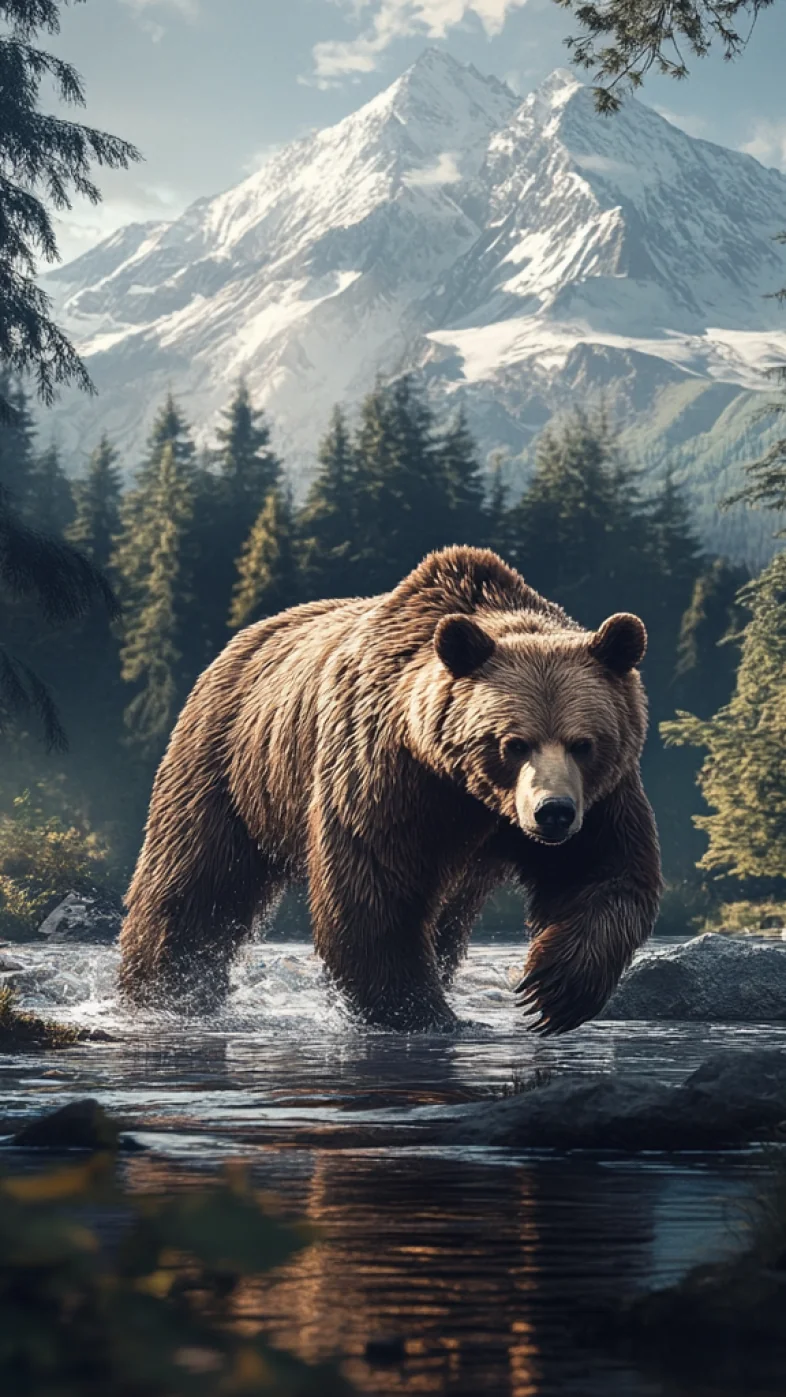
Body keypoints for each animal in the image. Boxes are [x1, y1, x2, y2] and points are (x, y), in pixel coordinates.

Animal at [119, 546, 662, 1034]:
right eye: (513, 743)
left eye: (583, 743)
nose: (553, 813)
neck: (470, 792)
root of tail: (241, 640)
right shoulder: (387, 774)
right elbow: (374, 888)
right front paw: (421, 1012)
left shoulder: (602, 797)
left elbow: (603, 873)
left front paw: (552, 990)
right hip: (229, 766)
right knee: (193, 883)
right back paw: (161, 990)